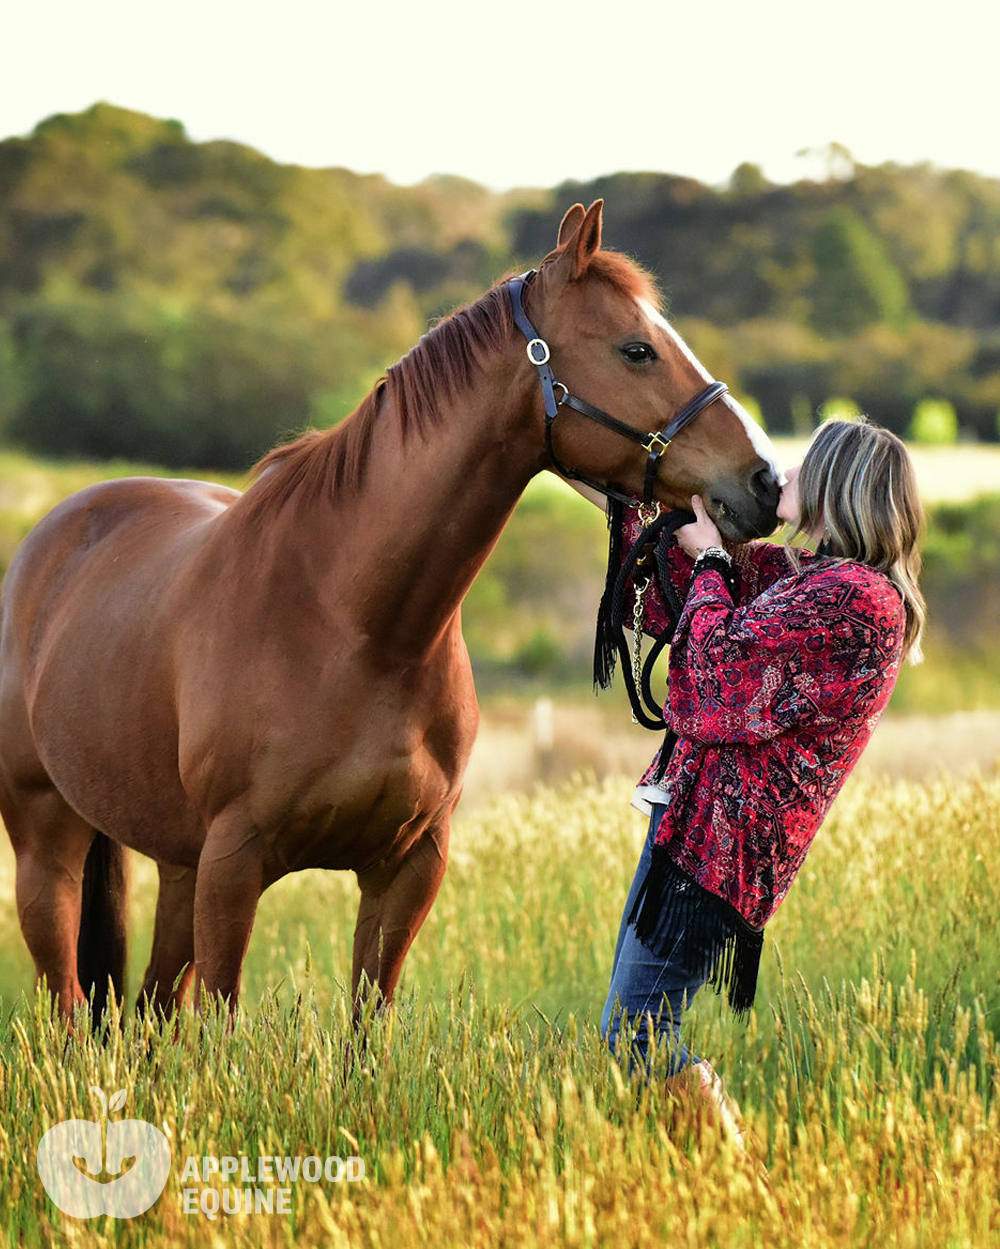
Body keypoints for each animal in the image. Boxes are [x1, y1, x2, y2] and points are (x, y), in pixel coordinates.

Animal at [0, 204, 779, 1024]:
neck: (357, 627)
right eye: (637, 350)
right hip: (50, 850)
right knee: (67, 1001)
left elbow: (366, 1025)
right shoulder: (233, 865)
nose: (764, 479)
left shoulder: (406, 868)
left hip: (178, 865)